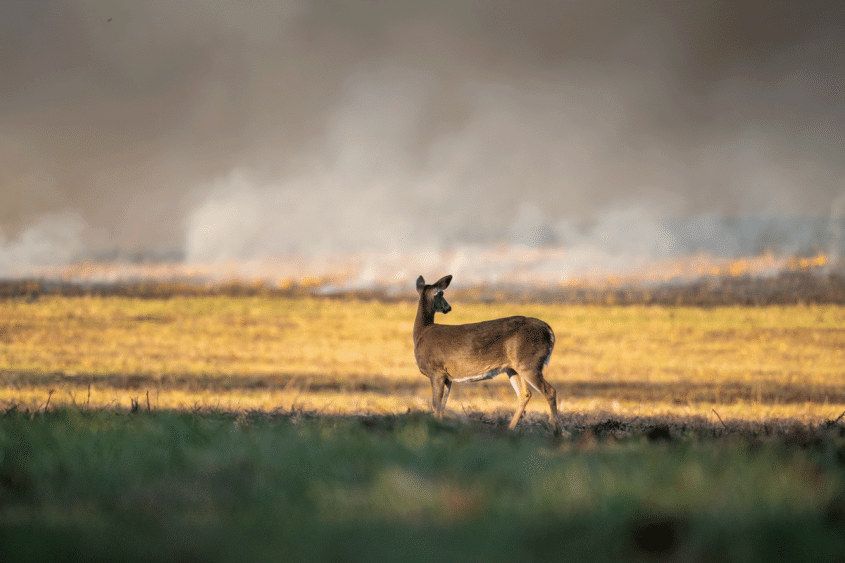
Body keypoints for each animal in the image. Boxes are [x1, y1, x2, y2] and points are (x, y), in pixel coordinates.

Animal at [413, 275, 560, 434]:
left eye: (442, 293)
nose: (448, 307)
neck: (421, 333)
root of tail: (549, 330)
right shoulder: (447, 377)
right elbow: (442, 406)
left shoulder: (436, 372)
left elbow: (436, 405)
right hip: (514, 367)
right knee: (525, 394)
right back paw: (509, 429)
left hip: (529, 363)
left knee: (550, 391)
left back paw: (556, 431)